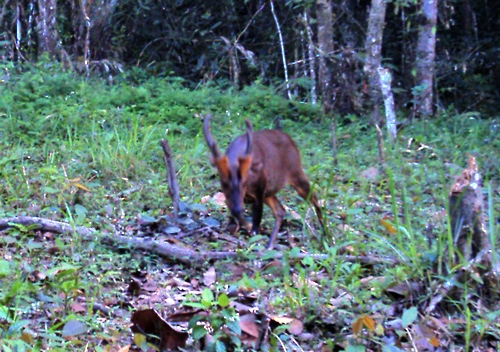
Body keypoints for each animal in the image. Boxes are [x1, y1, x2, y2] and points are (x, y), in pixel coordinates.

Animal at [203, 114, 324, 249]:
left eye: (244, 183)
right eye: (224, 183)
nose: (237, 209)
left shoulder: (259, 189)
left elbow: (256, 222)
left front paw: (253, 235)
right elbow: (238, 216)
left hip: (296, 173)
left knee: (314, 198)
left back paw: (326, 235)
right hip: (269, 192)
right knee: (280, 210)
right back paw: (270, 244)